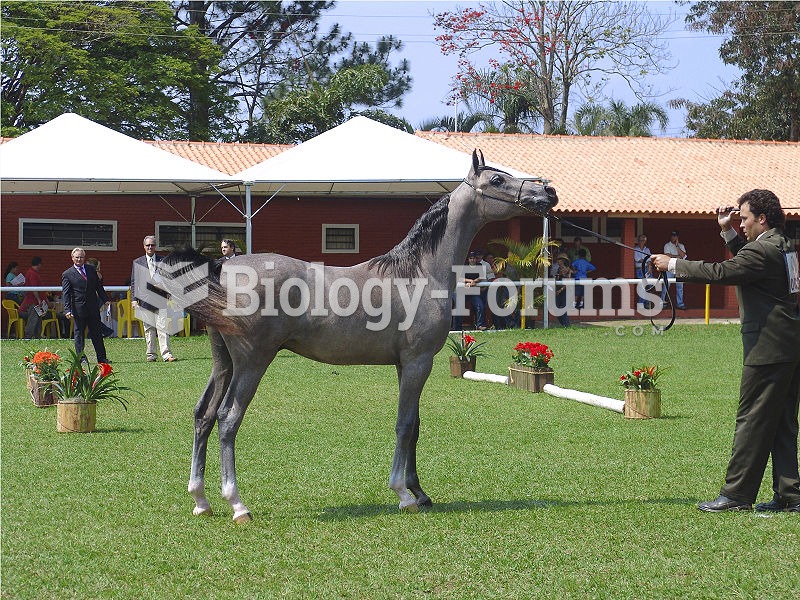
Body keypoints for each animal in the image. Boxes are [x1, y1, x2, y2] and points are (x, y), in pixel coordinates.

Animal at [162, 152, 556, 524]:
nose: (548, 193)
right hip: (252, 361)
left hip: (224, 362)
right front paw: (403, 494)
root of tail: (222, 266)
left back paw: (201, 500)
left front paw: (420, 492)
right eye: (497, 180)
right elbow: (404, 425)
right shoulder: (418, 362)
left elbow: (415, 425)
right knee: (228, 419)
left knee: (204, 415)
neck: (419, 272)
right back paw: (237, 504)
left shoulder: (406, 365)